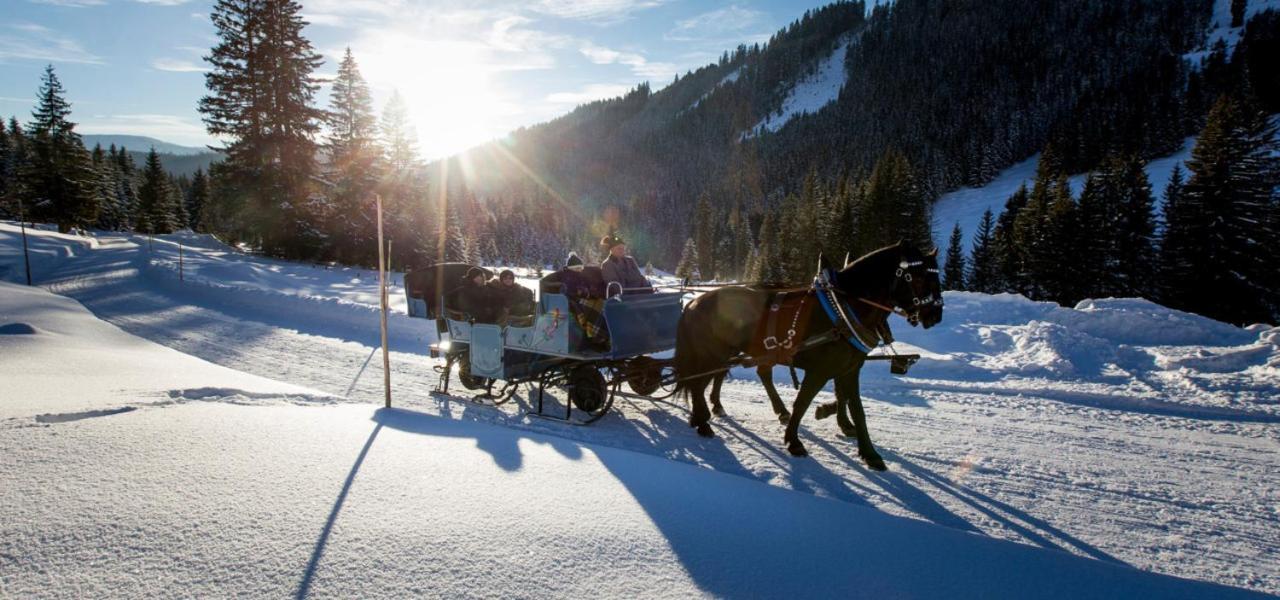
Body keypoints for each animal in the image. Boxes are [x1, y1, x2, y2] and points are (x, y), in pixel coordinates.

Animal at [675, 240, 947, 470]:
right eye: (918, 277)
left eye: (936, 277)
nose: (935, 315)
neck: (843, 309)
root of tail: (694, 302)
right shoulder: (820, 370)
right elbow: (803, 403)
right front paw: (794, 441)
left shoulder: (850, 369)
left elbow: (856, 407)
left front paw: (868, 452)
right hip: (711, 354)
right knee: (699, 384)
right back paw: (703, 421)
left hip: (728, 352)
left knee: (720, 378)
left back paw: (709, 412)